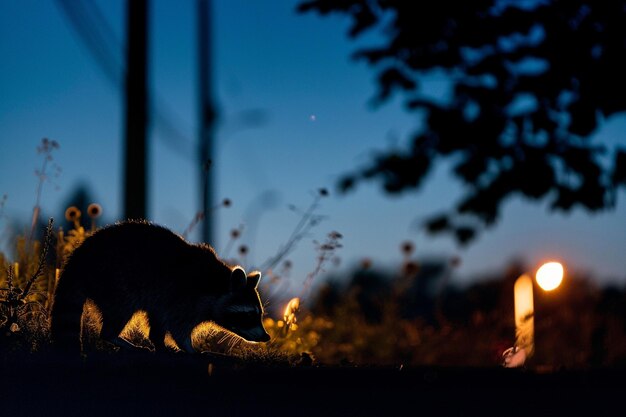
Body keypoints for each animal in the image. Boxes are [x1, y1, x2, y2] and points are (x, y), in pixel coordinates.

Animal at [50, 219, 270, 352]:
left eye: (259, 314)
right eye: (249, 315)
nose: (266, 337)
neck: (217, 284)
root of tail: (81, 257)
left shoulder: (165, 299)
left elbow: (159, 322)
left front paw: (160, 342)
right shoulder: (184, 298)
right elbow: (178, 327)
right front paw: (188, 347)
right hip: (115, 281)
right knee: (121, 310)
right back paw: (114, 336)